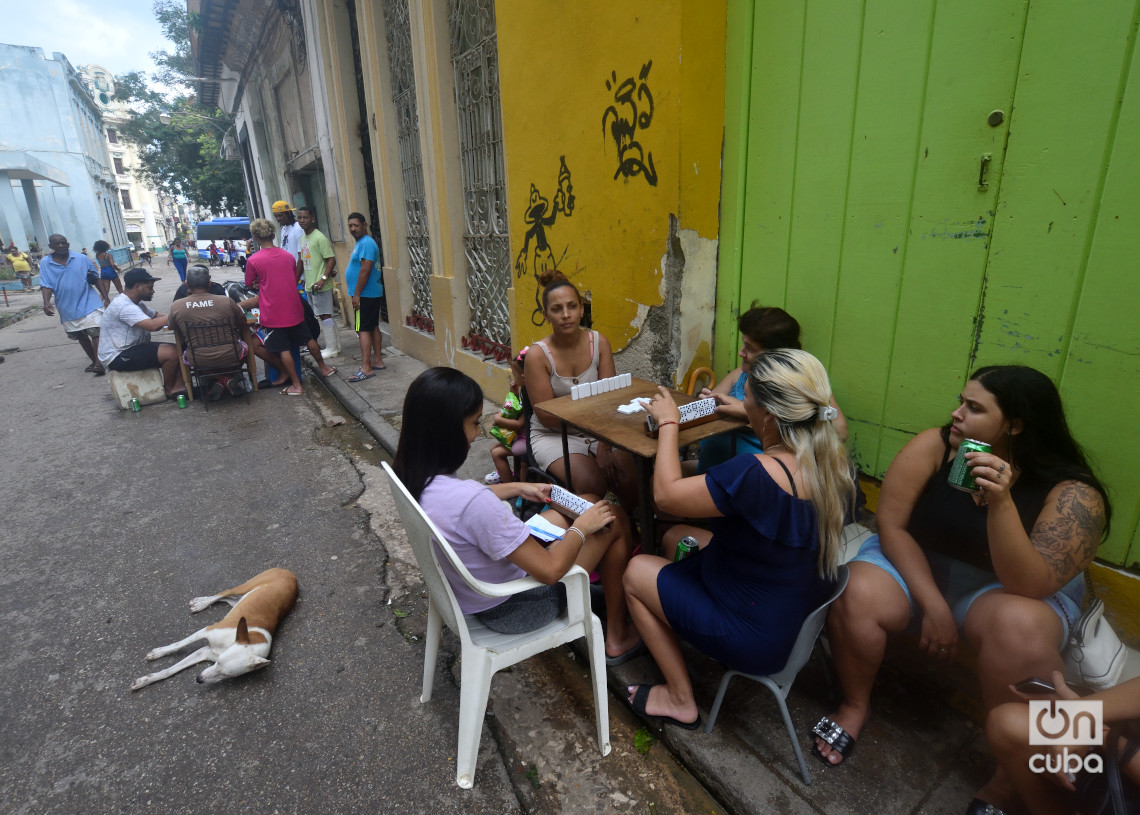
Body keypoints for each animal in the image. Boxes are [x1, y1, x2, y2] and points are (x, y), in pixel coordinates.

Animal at [130, 569, 298, 693]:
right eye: (218, 662)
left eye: (227, 675)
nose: (199, 679)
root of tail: (291, 574)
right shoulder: (206, 631)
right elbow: (178, 645)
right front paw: (158, 653)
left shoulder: (204, 652)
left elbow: (170, 670)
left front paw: (145, 680)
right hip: (248, 584)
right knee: (225, 592)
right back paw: (202, 603)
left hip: (240, 600)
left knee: (230, 600)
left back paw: (201, 603)